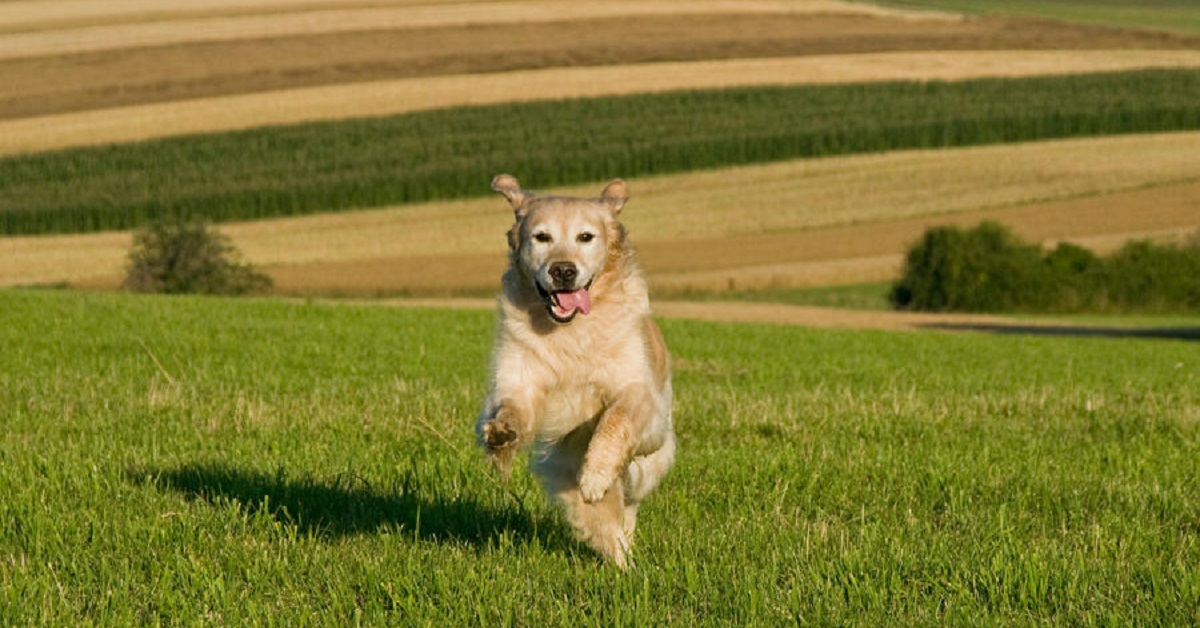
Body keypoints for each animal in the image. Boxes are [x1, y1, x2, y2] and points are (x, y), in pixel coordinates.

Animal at [482, 172, 681, 569]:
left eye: (585, 237)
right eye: (541, 237)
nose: (563, 270)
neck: (569, 329)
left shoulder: (639, 394)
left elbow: (615, 420)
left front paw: (595, 474)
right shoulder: (519, 383)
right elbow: (513, 409)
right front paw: (501, 433)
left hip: (647, 466)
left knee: (628, 504)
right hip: (565, 479)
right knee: (606, 525)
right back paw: (622, 563)